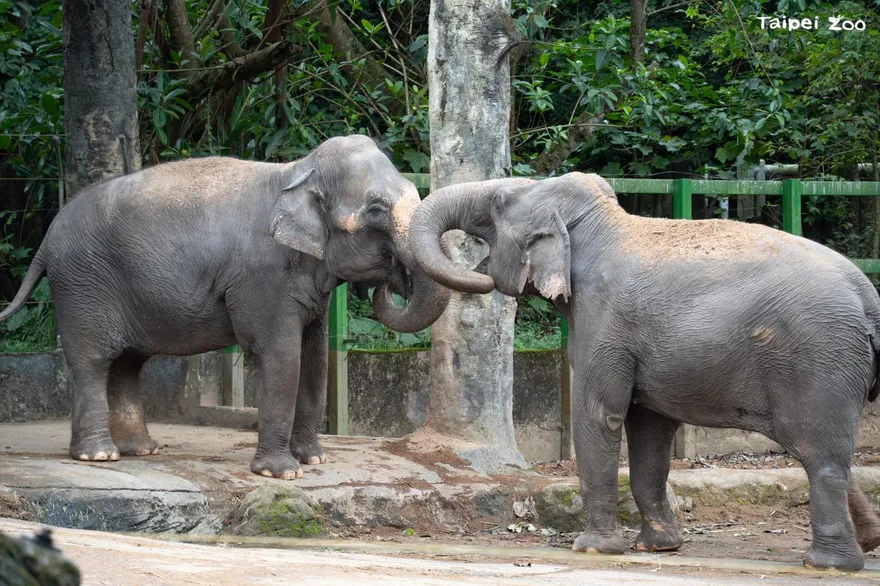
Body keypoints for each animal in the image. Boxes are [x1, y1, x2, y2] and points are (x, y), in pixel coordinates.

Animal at [0, 134, 449, 480]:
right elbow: (282, 355)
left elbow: (316, 357)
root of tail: (46, 240)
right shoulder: (262, 277)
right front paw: (281, 473)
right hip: (82, 285)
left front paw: (314, 460)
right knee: (94, 361)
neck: (296, 171)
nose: (393, 281)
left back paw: (141, 450)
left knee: (127, 363)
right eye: (375, 209)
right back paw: (99, 456)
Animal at [409, 172, 880, 571]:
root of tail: (867, 296)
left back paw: (828, 564)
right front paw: (658, 547)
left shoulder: (604, 322)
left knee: (818, 453)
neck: (600, 223)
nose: (479, 278)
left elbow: (599, 415)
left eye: (499, 202)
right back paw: (864, 542)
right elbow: (650, 430)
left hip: (819, 359)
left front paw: (593, 548)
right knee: (821, 451)